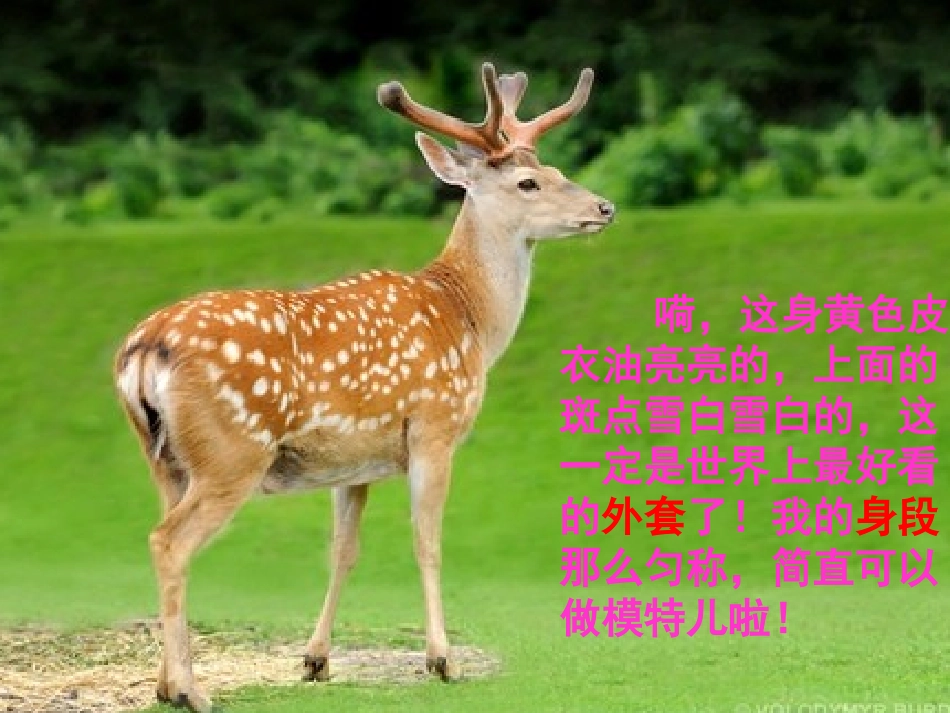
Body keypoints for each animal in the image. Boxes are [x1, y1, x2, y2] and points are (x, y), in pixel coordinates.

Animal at [113, 62, 614, 712]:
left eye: (555, 171)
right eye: (529, 183)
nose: (604, 206)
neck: (469, 319)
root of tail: (145, 349)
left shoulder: (353, 461)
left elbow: (343, 551)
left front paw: (316, 660)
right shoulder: (433, 426)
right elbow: (428, 541)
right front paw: (441, 660)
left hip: (165, 459)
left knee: (165, 535)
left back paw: (163, 684)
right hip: (231, 451)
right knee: (168, 543)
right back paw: (190, 691)